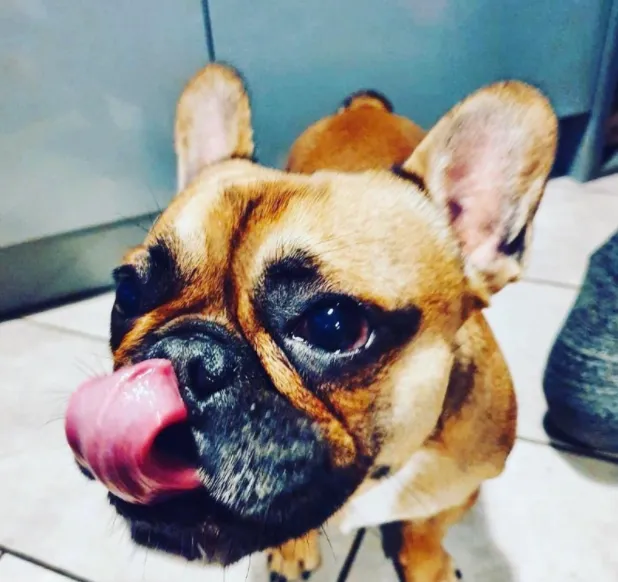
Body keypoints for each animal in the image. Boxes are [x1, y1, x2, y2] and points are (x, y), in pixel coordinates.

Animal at [65, 63, 557, 581]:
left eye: (333, 326)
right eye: (127, 293)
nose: (180, 357)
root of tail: (364, 108)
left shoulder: (461, 487)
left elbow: (427, 526)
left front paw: (427, 564)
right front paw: (293, 548)